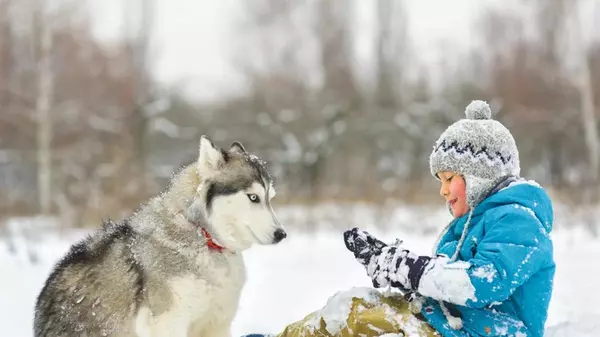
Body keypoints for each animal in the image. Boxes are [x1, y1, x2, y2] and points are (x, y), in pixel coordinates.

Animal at [34, 135, 288, 334]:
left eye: (270, 198)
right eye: (253, 197)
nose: (282, 234)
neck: (202, 235)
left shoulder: (215, 324)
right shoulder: (168, 323)